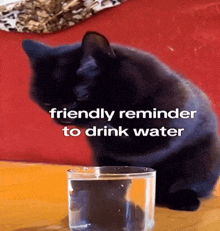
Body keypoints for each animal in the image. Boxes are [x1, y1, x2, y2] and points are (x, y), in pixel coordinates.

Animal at [22, 31, 220, 212]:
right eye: (46, 103)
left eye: (80, 96)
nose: (61, 118)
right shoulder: (104, 152)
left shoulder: (165, 134)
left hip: (201, 162)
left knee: (187, 183)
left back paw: (184, 200)